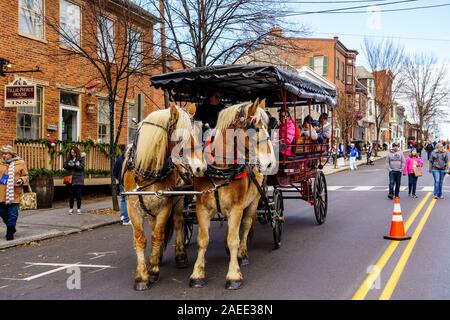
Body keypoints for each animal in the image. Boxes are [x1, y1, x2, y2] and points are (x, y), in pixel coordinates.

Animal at [122, 104, 205, 290]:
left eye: (199, 134)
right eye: (180, 138)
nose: (200, 168)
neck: (148, 170)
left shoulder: (165, 205)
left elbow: (158, 234)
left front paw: (152, 270)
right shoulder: (133, 207)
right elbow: (141, 239)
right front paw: (142, 276)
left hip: (179, 199)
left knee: (180, 223)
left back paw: (180, 256)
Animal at [188, 99, 276, 288]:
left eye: (268, 126)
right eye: (255, 128)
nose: (270, 163)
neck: (220, 168)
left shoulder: (237, 206)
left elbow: (234, 239)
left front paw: (234, 275)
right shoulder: (201, 207)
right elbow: (203, 240)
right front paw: (197, 274)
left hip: (253, 201)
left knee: (246, 225)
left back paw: (242, 254)